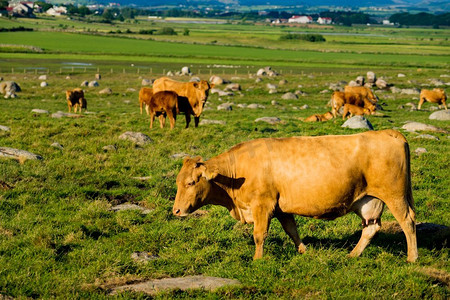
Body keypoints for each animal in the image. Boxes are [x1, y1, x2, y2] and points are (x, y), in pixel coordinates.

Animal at [173, 130, 418, 262]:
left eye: (191, 182)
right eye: (177, 182)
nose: (176, 210)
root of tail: (388, 133)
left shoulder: (262, 205)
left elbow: (259, 235)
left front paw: (257, 259)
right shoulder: (281, 208)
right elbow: (292, 230)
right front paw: (304, 250)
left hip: (395, 196)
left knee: (408, 222)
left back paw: (412, 257)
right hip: (368, 200)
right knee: (371, 227)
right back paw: (353, 255)